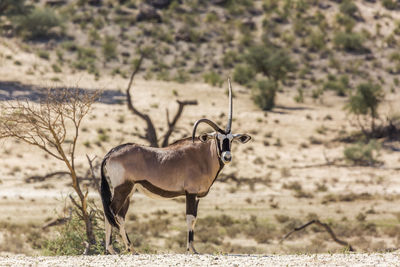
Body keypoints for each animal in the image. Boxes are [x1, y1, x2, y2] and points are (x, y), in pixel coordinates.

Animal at [100, 78, 250, 255]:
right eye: (217, 139)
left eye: (231, 139)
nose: (227, 157)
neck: (203, 157)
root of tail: (111, 153)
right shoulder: (190, 193)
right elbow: (190, 218)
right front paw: (191, 249)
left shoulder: (197, 196)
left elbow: (194, 220)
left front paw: (192, 248)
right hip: (122, 188)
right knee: (111, 211)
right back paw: (112, 249)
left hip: (129, 191)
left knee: (120, 216)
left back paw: (130, 249)